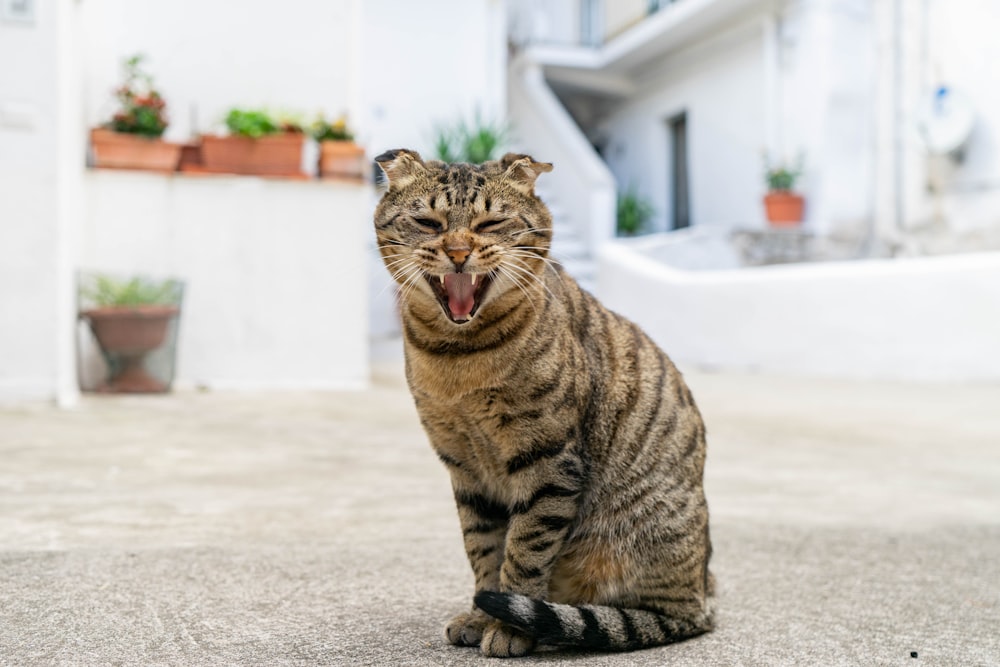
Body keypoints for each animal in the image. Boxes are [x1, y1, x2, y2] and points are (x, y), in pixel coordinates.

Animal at [374, 147, 712, 656]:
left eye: (491, 222)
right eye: (428, 222)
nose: (458, 253)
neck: (458, 357)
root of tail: (705, 597)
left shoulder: (548, 461)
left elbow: (524, 552)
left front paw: (510, 628)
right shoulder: (465, 468)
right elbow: (484, 550)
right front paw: (481, 615)